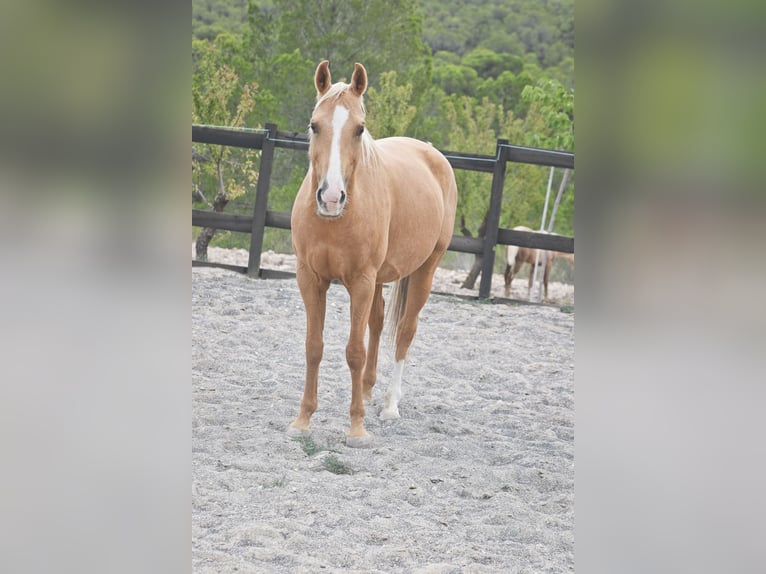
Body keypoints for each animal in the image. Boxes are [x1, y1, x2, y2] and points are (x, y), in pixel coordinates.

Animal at [288, 63, 456, 450]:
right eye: (314, 125)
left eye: (359, 129)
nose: (330, 197)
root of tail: (431, 154)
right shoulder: (310, 279)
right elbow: (314, 346)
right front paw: (303, 420)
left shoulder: (361, 281)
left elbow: (354, 350)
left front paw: (357, 428)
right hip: (379, 280)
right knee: (377, 325)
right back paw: (366, 391)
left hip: (424, 271)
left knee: (405, 331)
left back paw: (390, 405)